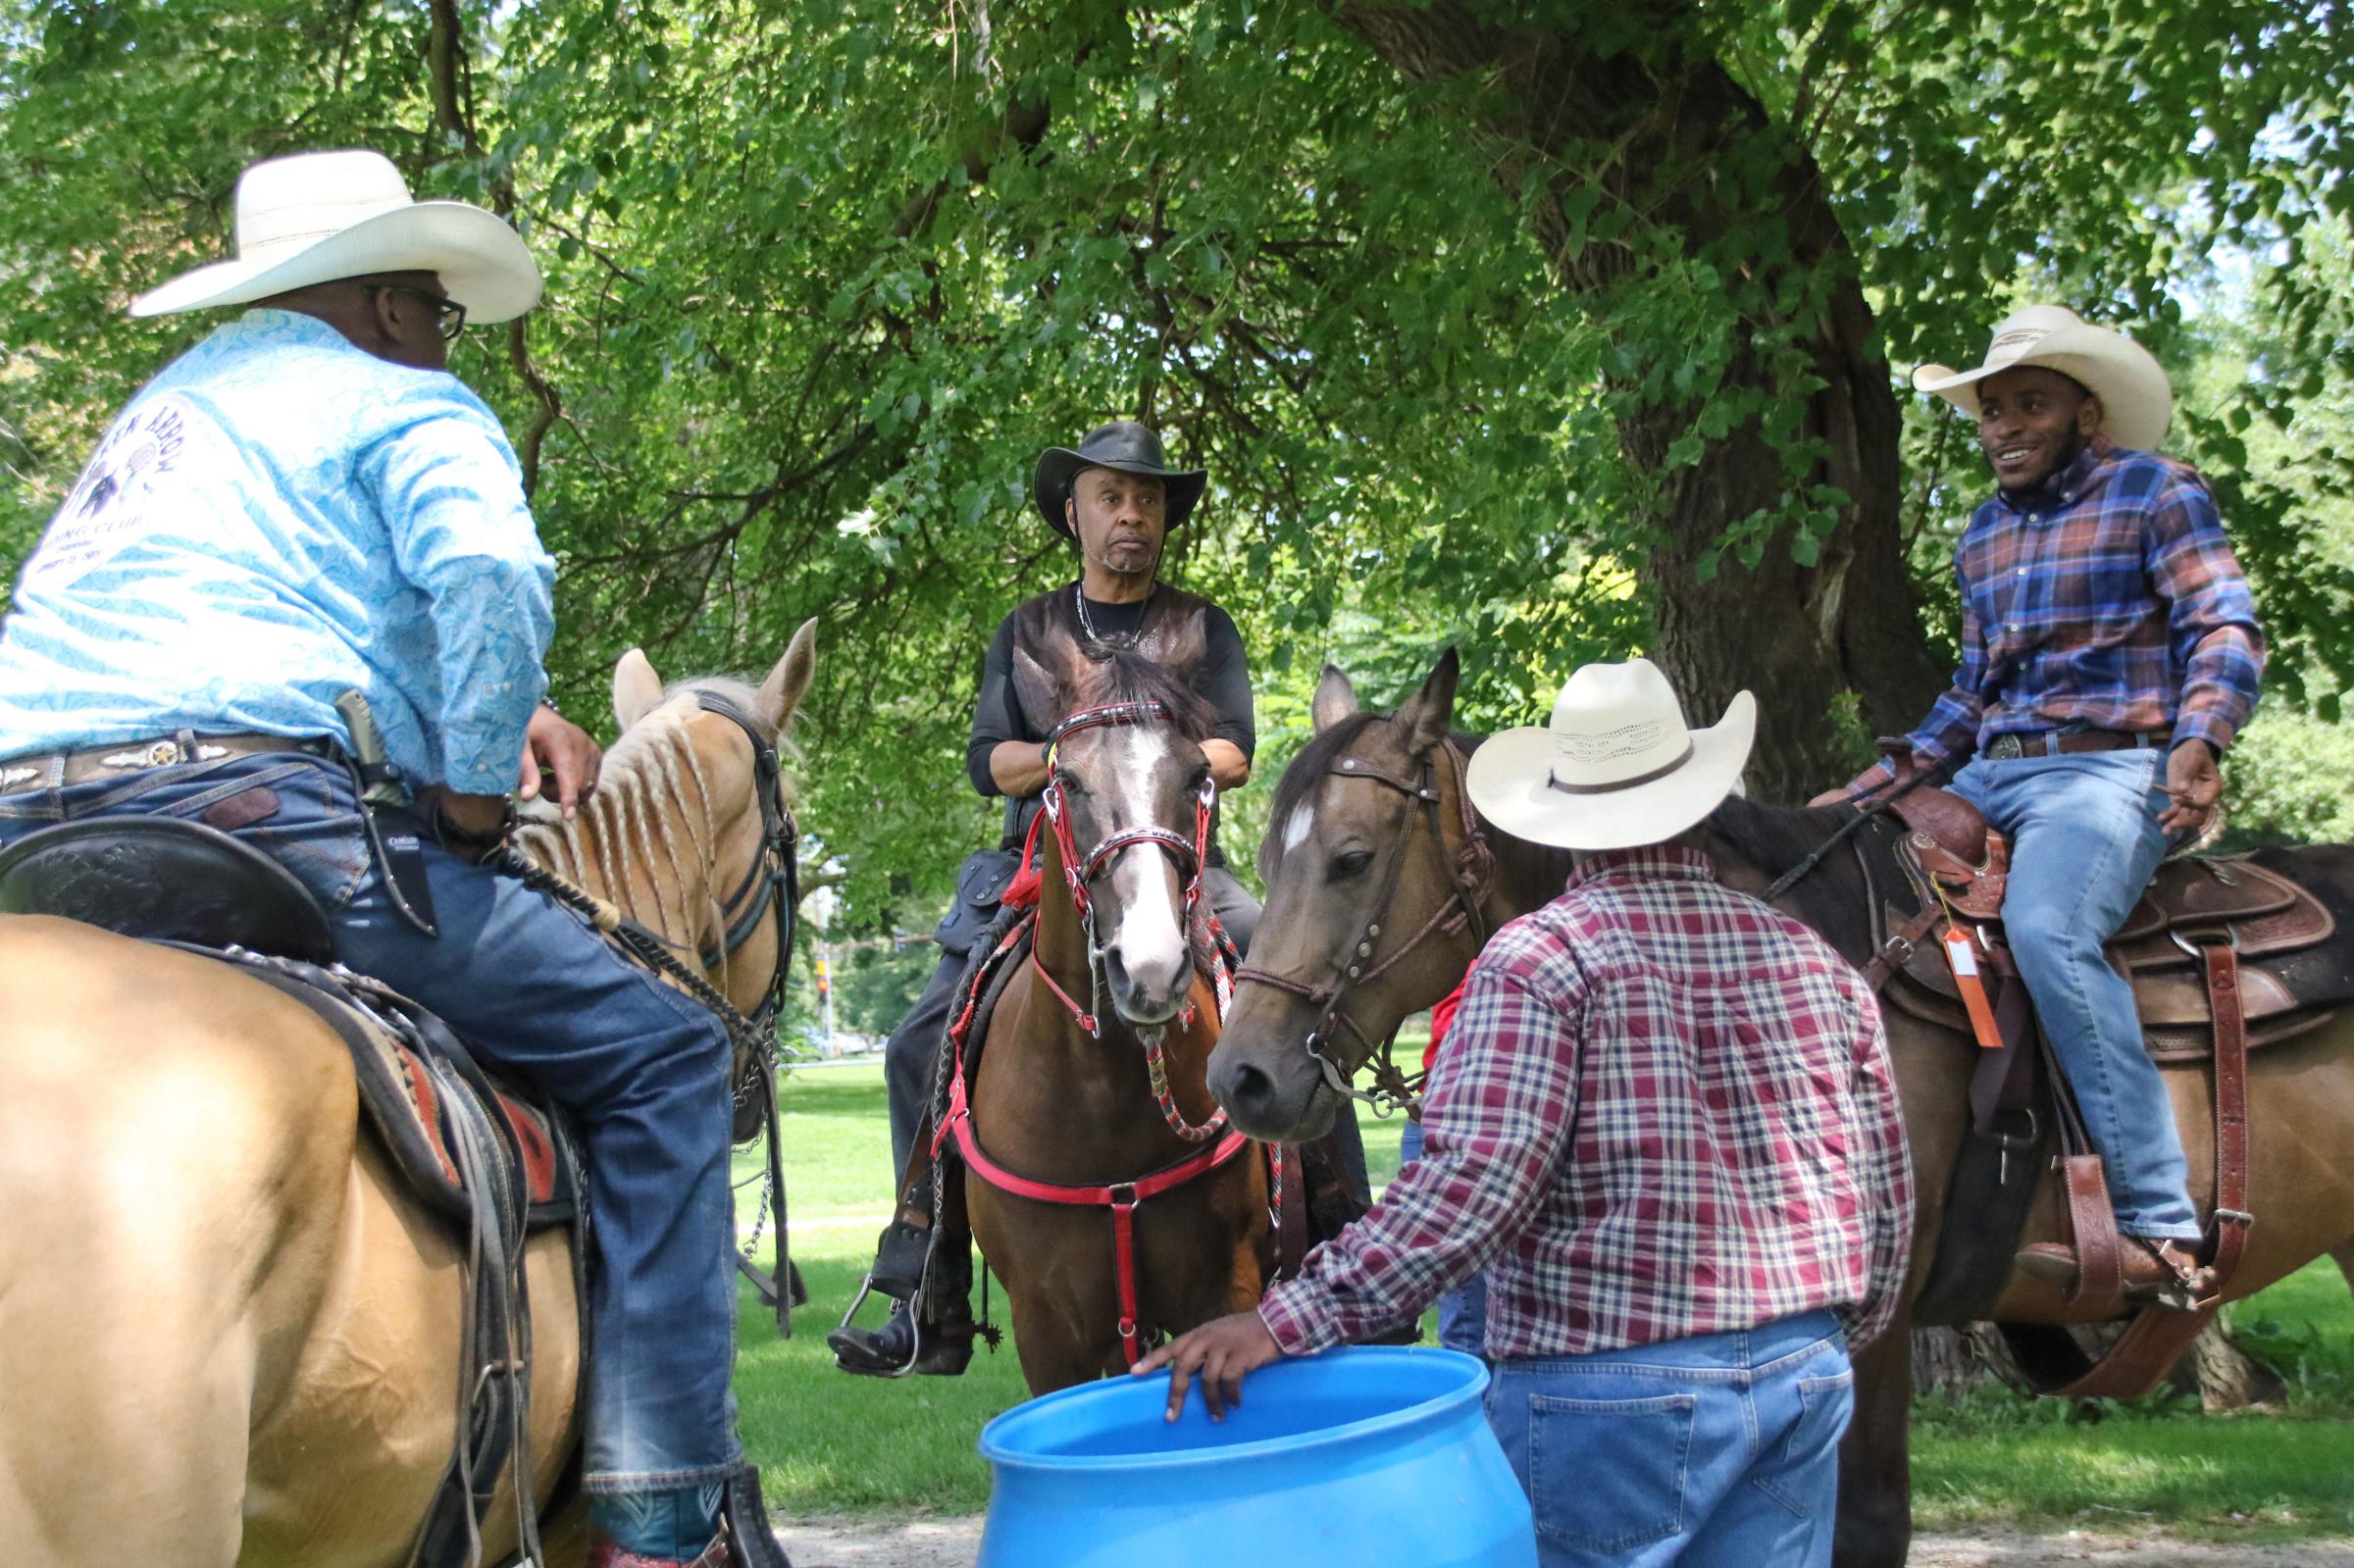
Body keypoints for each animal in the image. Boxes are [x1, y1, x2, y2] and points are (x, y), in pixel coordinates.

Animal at [955, 644, 1271, 1384]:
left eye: (1199, 775)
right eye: (1067, 780)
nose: (1151, 969)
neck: (1102, 1097)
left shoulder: (1226, 1290)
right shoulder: (1046, 1330)